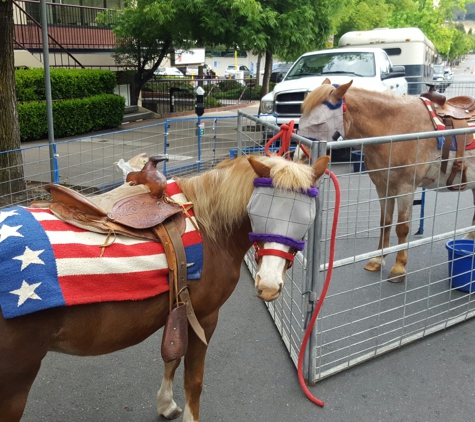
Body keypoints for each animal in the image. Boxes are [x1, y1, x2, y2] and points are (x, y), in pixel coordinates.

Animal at [0, 154, 330, 422]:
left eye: (306, 218)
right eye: (259, 211)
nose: (269, 285)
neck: (208, 228)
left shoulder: (178, 308)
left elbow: (172, 356)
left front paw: (165, 404)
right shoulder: (205, 317)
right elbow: (193, 381)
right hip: (15, 383)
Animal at [300, 79, 475, 284]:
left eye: (319, 122)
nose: (299, 157)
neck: (394, 128)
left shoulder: (406, 189)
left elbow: (402, 228)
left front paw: (399, 267)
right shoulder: (383, 187)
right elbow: (385, 222)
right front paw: (377, 259)